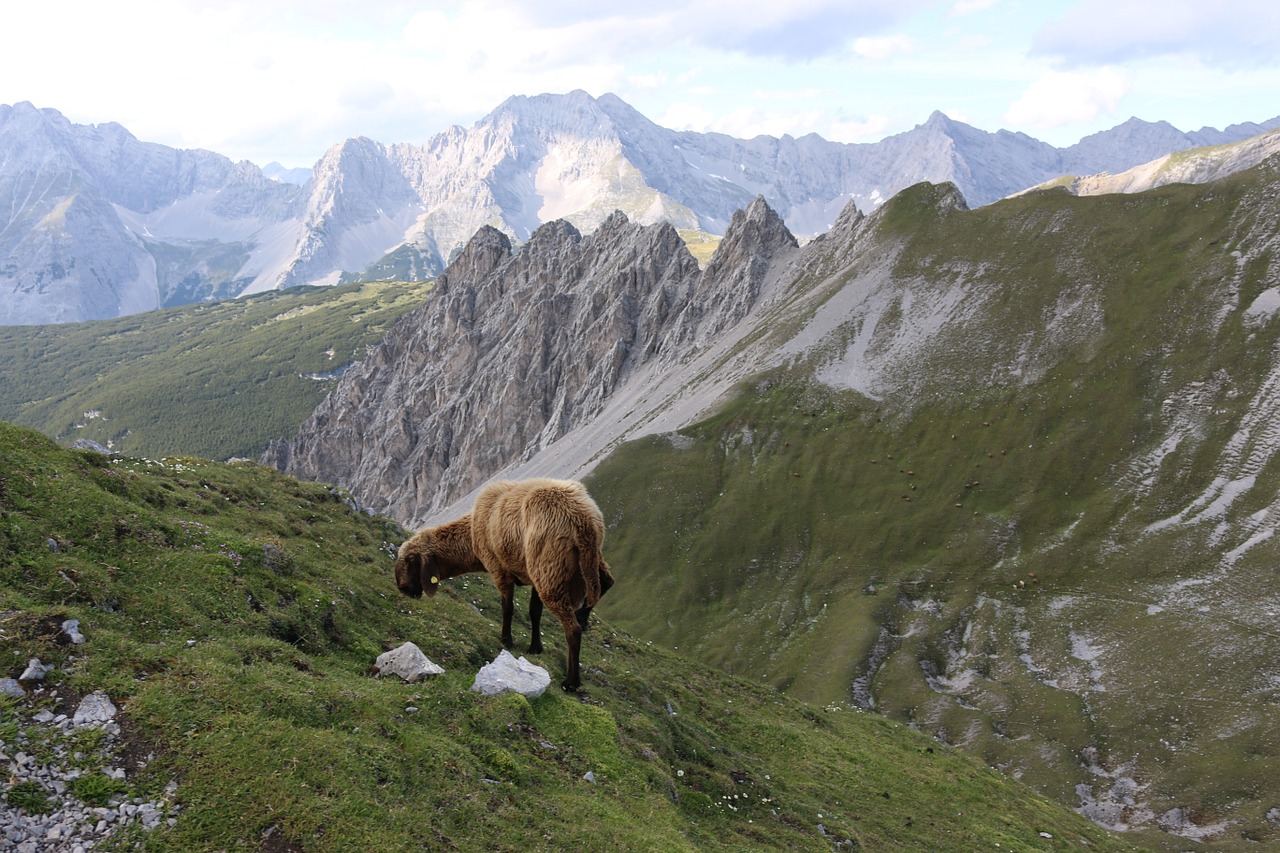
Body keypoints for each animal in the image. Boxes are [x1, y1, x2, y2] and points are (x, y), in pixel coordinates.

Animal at [399, 473, 619, 686]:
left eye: (411, 561)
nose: (402, 589)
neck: (471, 535)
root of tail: (583, 520)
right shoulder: (533, 574)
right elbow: (534, 612)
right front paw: (535, 647)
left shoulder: (499, 570)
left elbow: (507, 607)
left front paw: (506, 640)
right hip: (574, 563)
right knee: (606, 583)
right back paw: (583, 617)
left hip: (551, 572)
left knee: (573, 629)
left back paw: (571, 681)